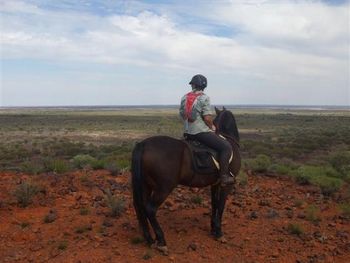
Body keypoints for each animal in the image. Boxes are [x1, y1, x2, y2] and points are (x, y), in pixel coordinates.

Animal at [131, 106, 241, 254]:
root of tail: (143, 144)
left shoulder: (215, 184)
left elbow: (214, 204)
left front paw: (213, 229)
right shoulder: (226, 185)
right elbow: (221, 206)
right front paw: (219, 233)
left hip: (145, 185)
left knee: (140, 206)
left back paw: (149, 239)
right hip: (163, 188)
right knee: (150, 209)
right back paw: (161, 241)